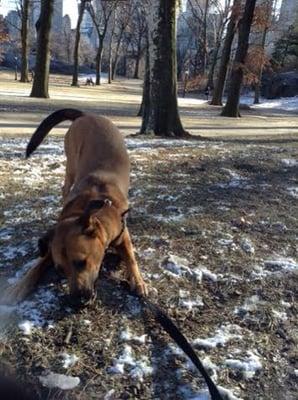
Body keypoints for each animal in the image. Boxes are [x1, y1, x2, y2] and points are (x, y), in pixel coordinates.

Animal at [5, 108, 147, 304]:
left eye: (82, 262)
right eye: (60, 269)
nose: (75, 301)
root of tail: (85, 115)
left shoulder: (123, 234)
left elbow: (131, 258)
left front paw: (138, 280)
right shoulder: (52, 244)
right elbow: (37, 264)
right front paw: (19, 286)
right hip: (72, 162)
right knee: (65, 186)